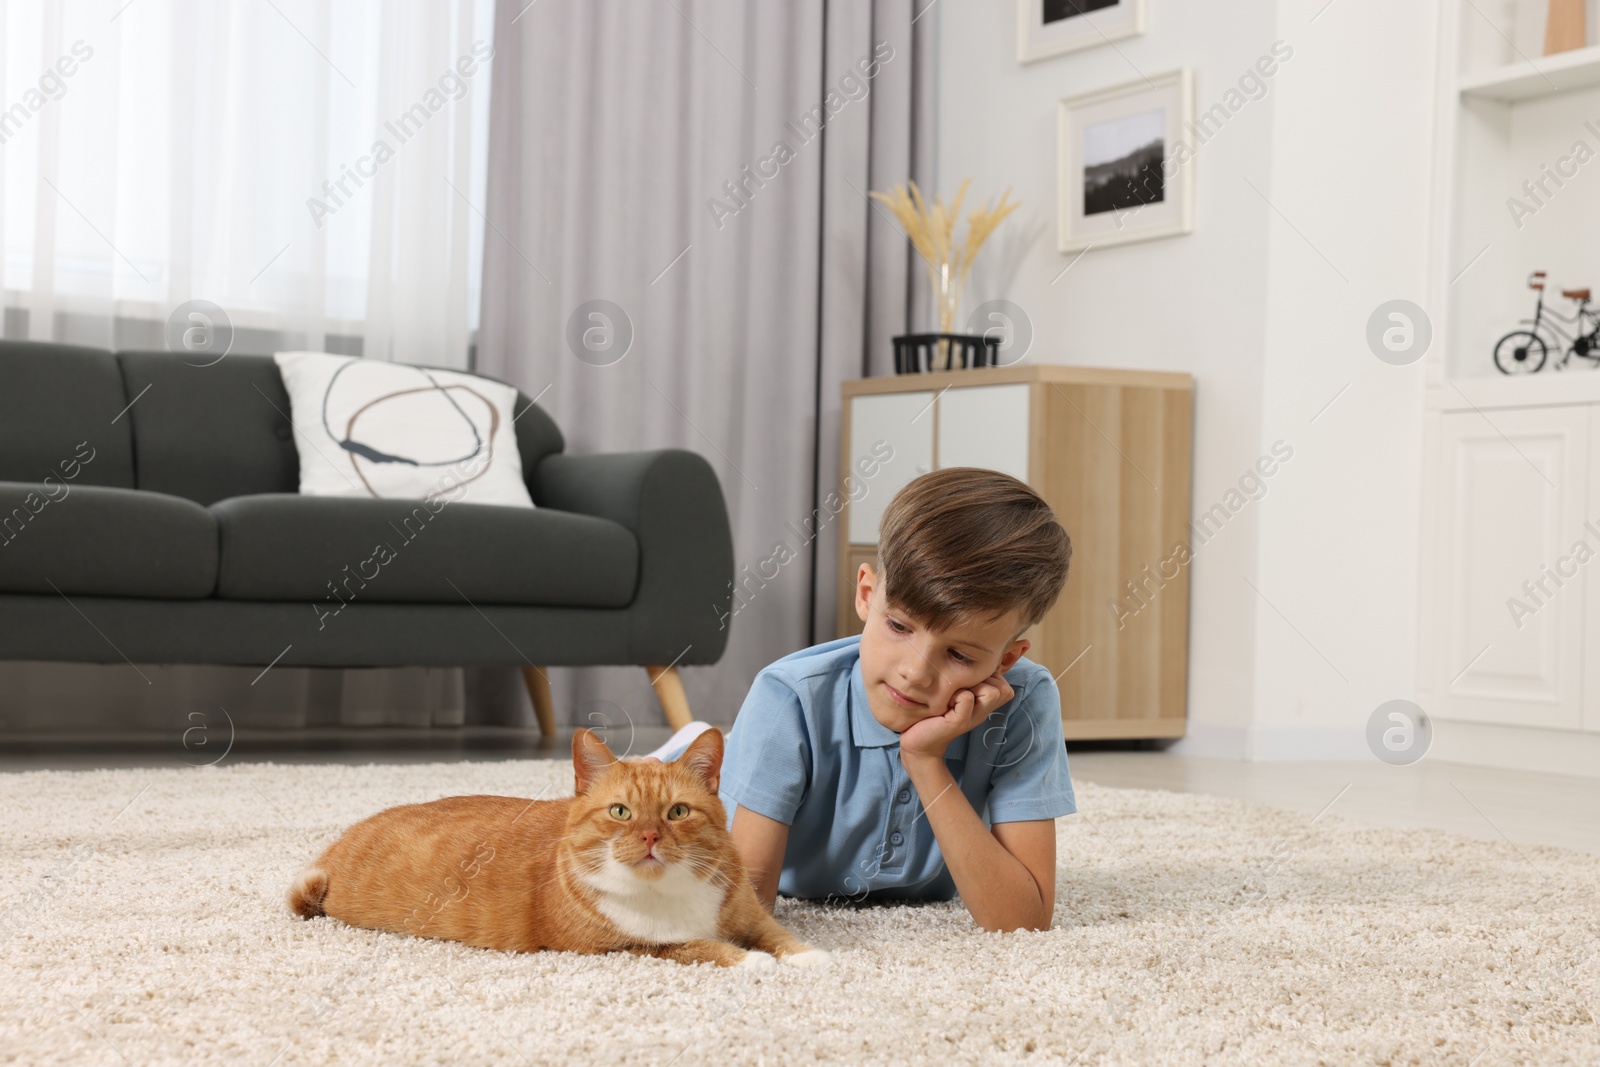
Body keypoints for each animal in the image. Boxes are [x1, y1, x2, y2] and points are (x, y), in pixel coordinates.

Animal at [284, 726, 825, 966]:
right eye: (621, 812)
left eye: (677, 813)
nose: (650, 836)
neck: (668, 892)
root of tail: (337, 845)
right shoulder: (627, 946)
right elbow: (702, 946)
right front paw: (751, 961)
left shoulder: (748, 913)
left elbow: (774, 933)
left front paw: (807, 957)